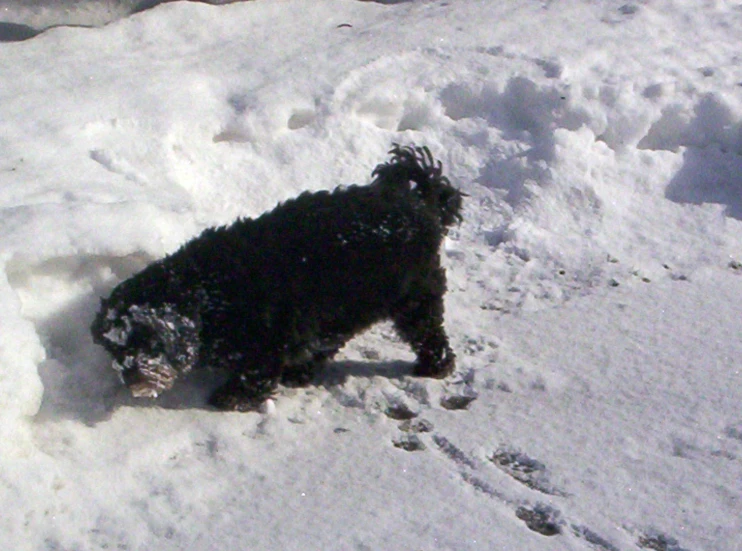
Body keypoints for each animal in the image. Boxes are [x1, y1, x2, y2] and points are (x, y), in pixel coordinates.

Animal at [91, 144, 464, 412]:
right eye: (115, 347)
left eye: (145, 340)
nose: (131, 376)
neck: (205, 293)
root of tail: (422, 203)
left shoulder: (268, 338)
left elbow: (255, 373)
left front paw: (233, 396)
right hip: (342, 306)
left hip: (413, 297)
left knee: (429, 334)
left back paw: (435, 365)